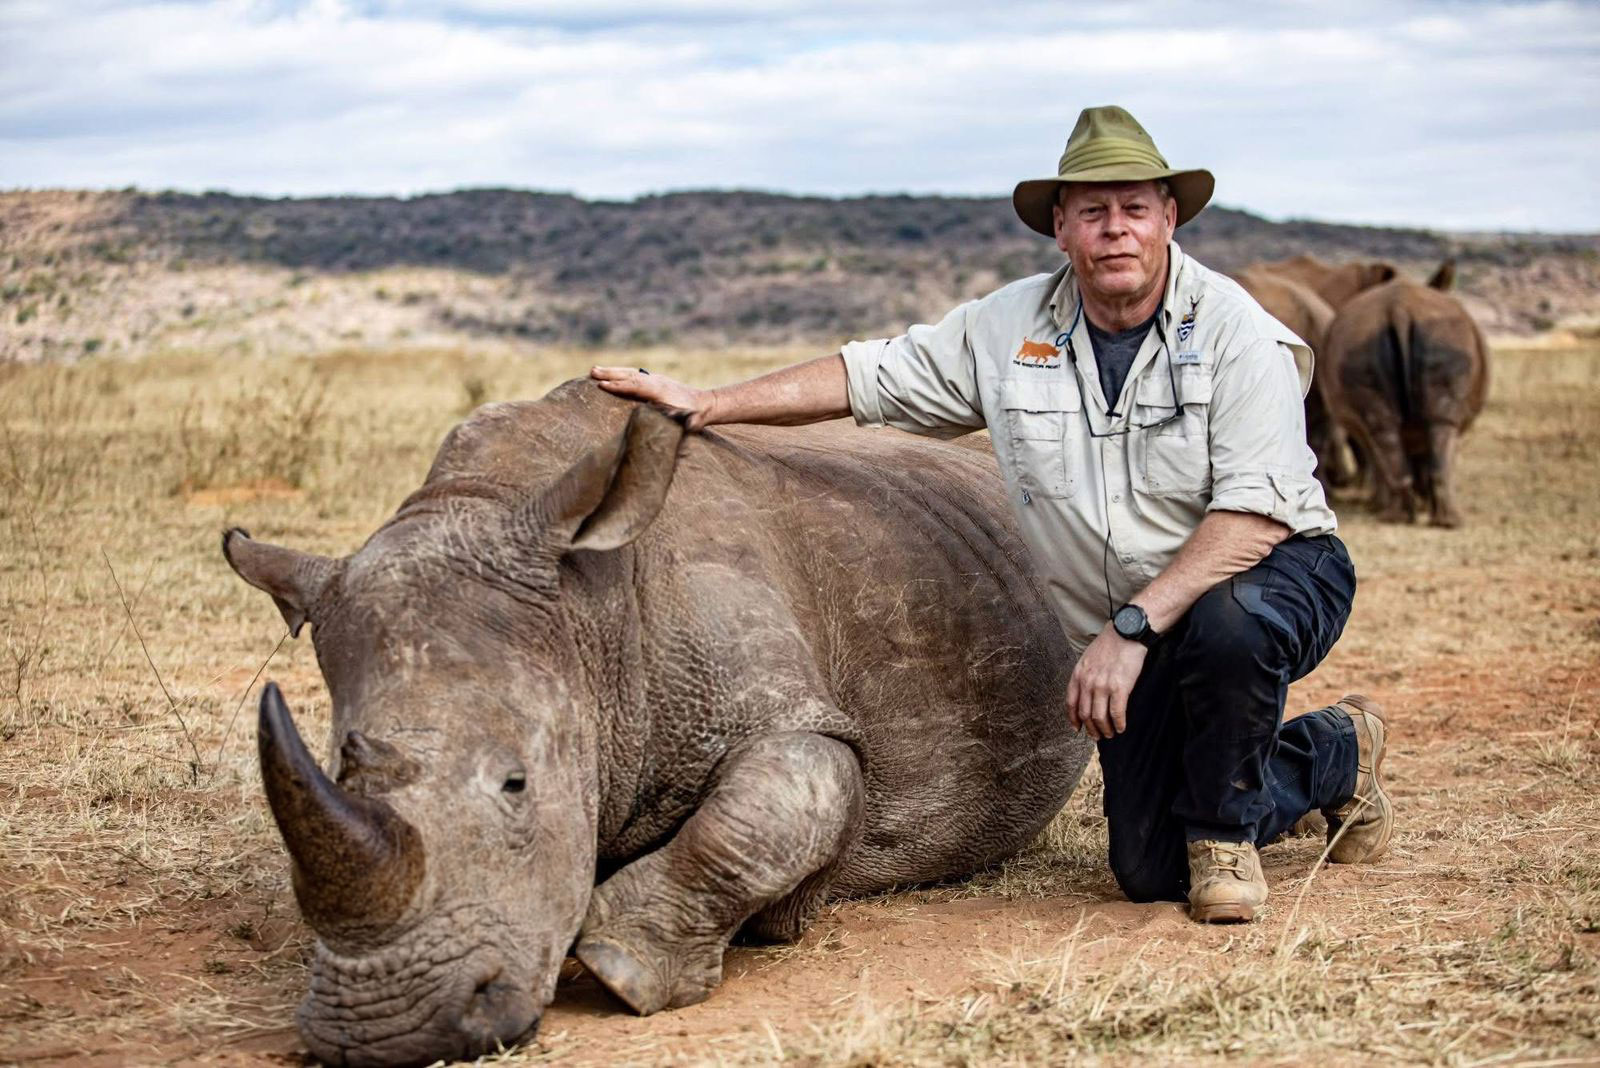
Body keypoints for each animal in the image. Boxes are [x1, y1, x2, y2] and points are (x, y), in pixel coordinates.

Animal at [223, 379, 1091, 1067]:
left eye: (517, 784)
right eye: (340, 768)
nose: (382, 1034)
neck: (587, 617)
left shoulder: (797, 713)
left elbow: (768, 808)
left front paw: (619, 966)